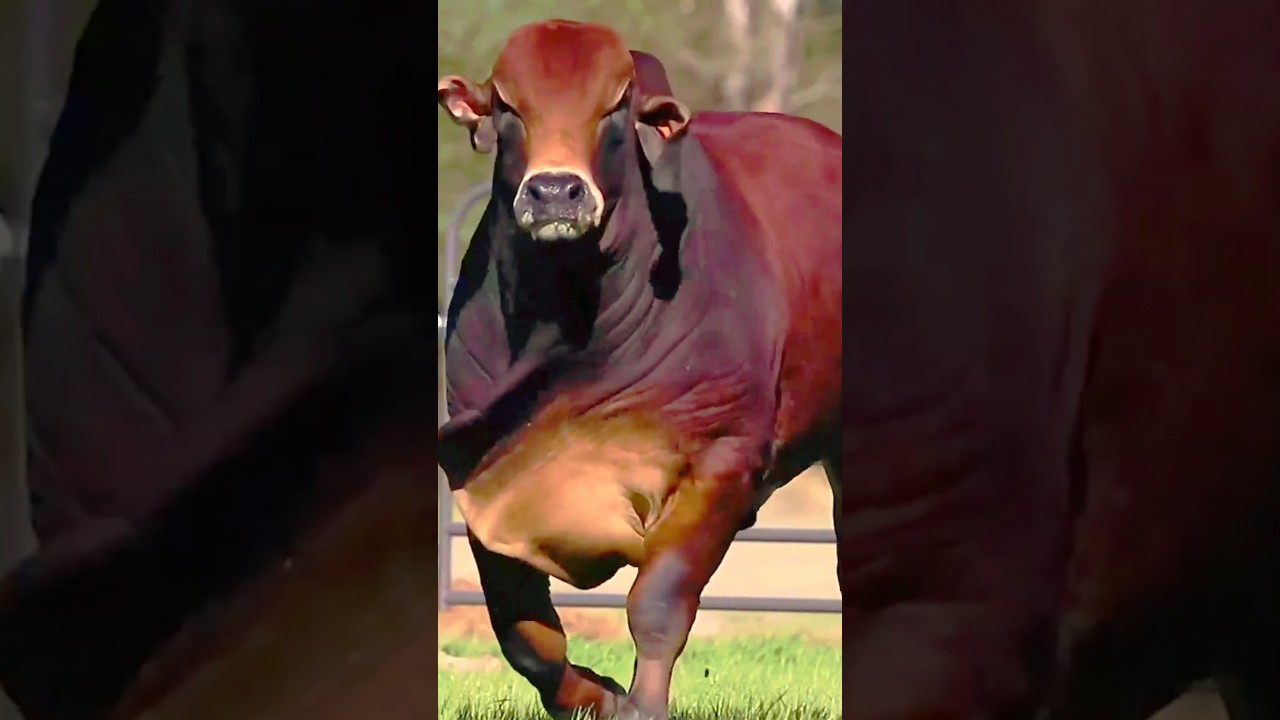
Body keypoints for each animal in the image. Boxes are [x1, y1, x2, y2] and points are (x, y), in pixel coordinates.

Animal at [436, 20, 842, 720]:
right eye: (508, 105)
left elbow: (657, 604)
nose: (555, 192)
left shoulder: (720, 460)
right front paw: (596, 695)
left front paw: (641, 703)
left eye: (614, 108)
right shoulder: (483, 467)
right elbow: (524, 633)